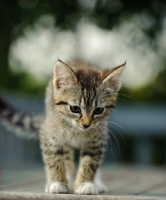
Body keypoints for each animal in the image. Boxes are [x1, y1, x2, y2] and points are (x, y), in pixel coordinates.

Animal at [39, 59, 124, 194]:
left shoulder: (97, 140)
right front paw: (57, 183)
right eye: (75, 108)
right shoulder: (50, 134)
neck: (77, 131)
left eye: (98, 110)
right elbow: (54, 159)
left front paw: (85, 185)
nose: (86, 124)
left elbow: (90, 162)